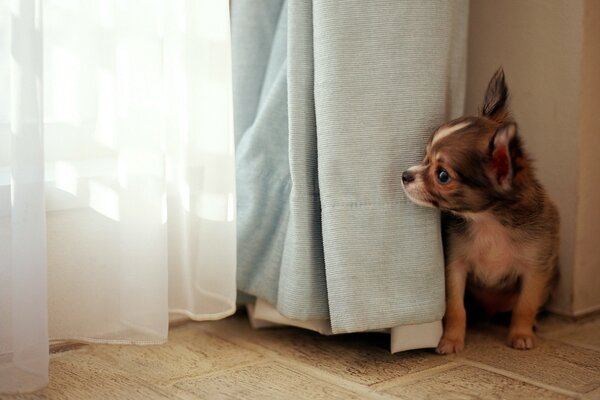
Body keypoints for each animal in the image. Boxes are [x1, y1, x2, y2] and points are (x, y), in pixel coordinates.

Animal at [400, 69, 560, 354]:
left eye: (442, 175)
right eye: (425, 157)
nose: (405, 175)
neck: (487, 220)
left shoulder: (535, 270)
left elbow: (525, 306)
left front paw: (521, 335)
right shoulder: (455, 267)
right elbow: (456, 309)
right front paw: (451, 340)